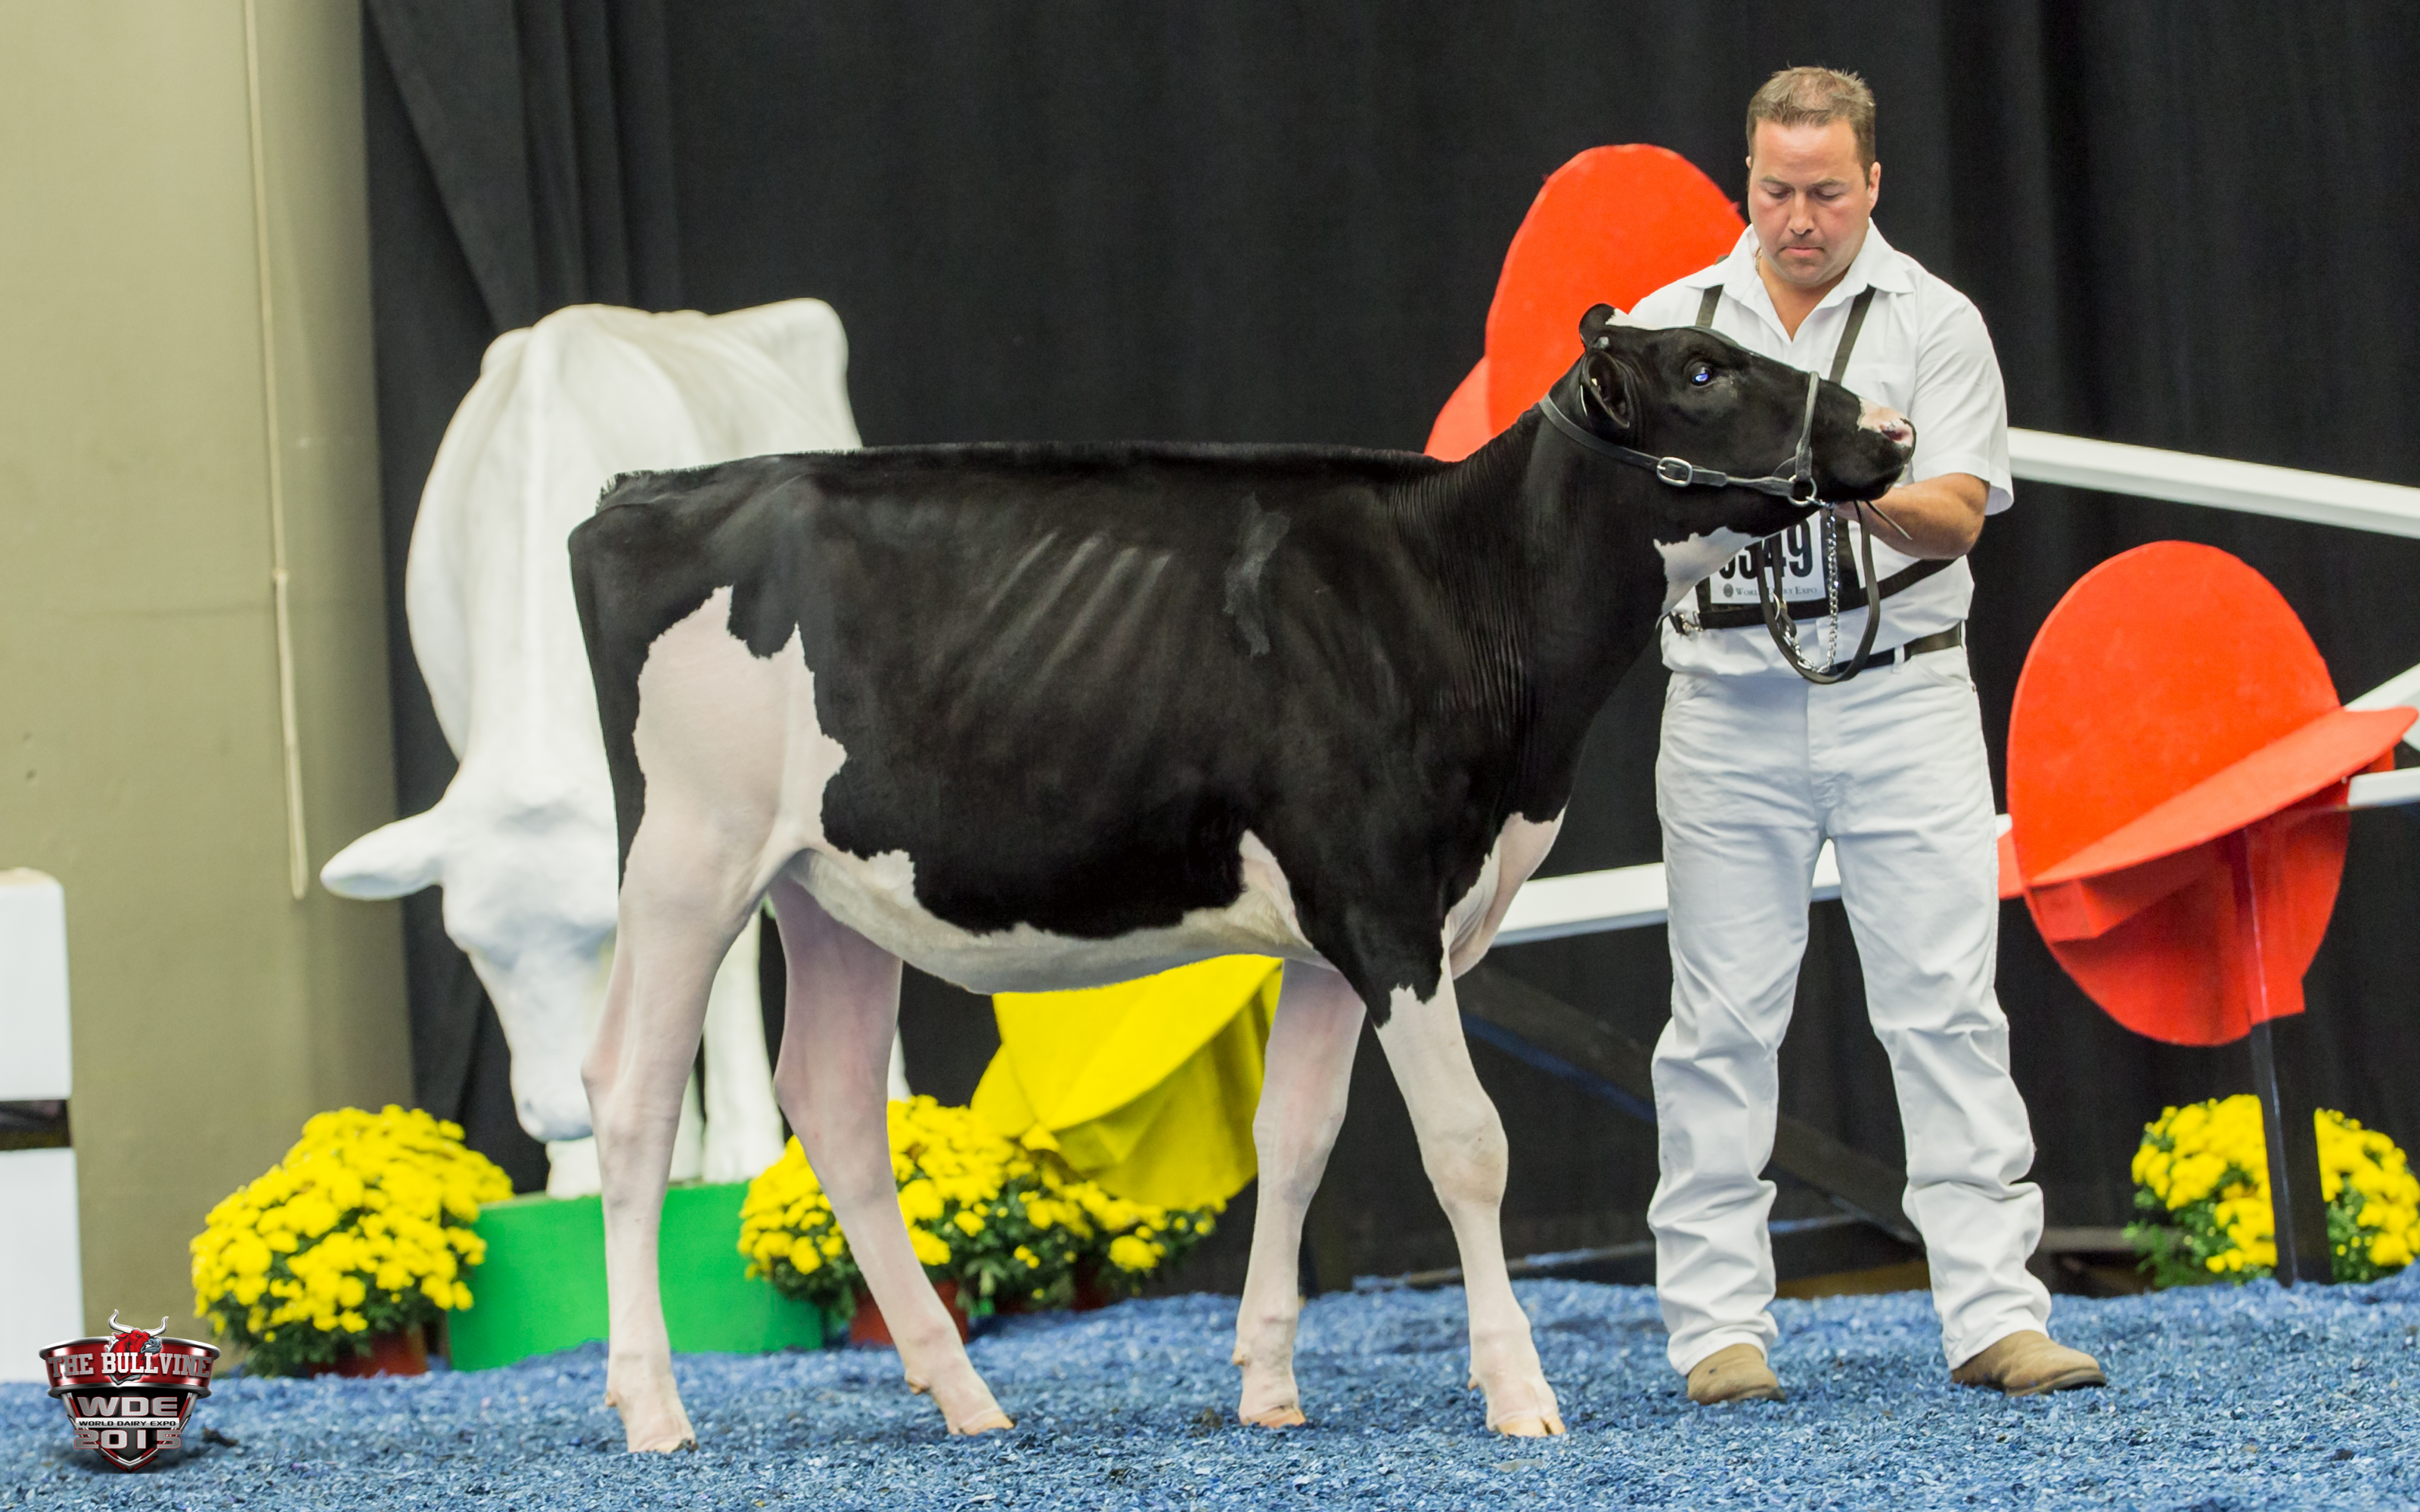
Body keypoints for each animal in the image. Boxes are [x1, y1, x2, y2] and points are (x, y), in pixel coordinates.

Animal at [569, 306, 1915, 1449]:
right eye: (1704, 369)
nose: (1892, 429)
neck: (1464, 606)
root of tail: (646, 490)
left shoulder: (1339, 936)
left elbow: (1298, 1138)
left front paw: (1269, 1385)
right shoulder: (1385, 907)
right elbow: (1467, 1146)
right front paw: (1520, 1391)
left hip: (823, 882)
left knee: (837, 1107)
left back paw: (965, 1398)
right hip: (688, 854)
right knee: (630, 1096)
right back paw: (653, 1409)